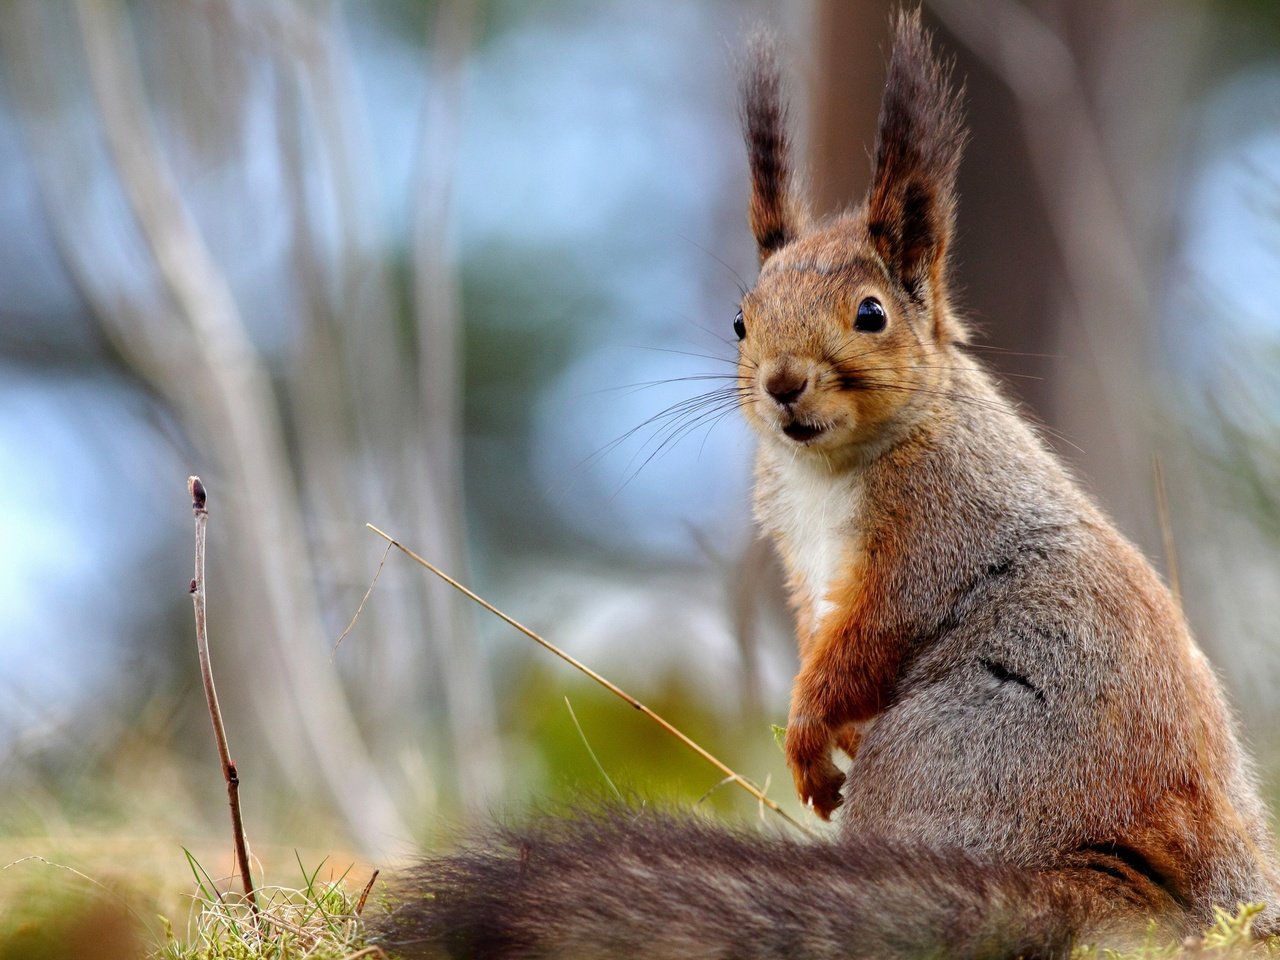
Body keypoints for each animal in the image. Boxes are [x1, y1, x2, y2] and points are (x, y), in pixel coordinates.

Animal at [373, 9, 1280, 960]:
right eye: (741, 320)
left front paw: (807, 733)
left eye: (871, 314)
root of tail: (1143, 896)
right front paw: (814, 739)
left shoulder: (934, 530)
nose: (782, 383)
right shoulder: (805, 564)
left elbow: (869, 638)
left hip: (958, 749)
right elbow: (821, 638)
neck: (827, 471)